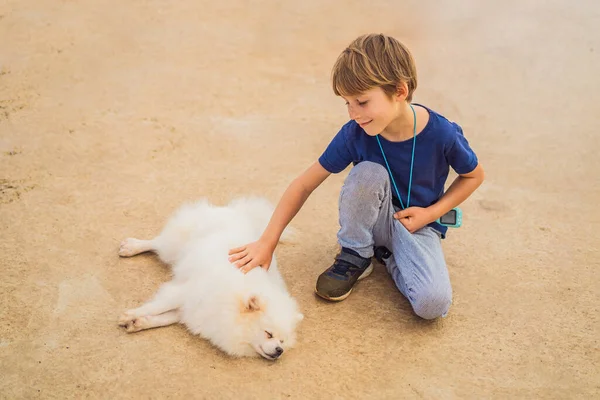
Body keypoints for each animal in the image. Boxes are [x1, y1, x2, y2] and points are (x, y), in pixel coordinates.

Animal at [118, 197, 304, 360]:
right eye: (268, 334)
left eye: (282, 340)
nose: (279, 350)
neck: (230, 301)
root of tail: (238, 211)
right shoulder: (186, 292)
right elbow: (157, 306)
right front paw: (130, 315)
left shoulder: (192, 311)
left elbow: (163, 318)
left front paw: (139, 323)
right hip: (173, 246)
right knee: (157, 243)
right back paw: (132, 246)